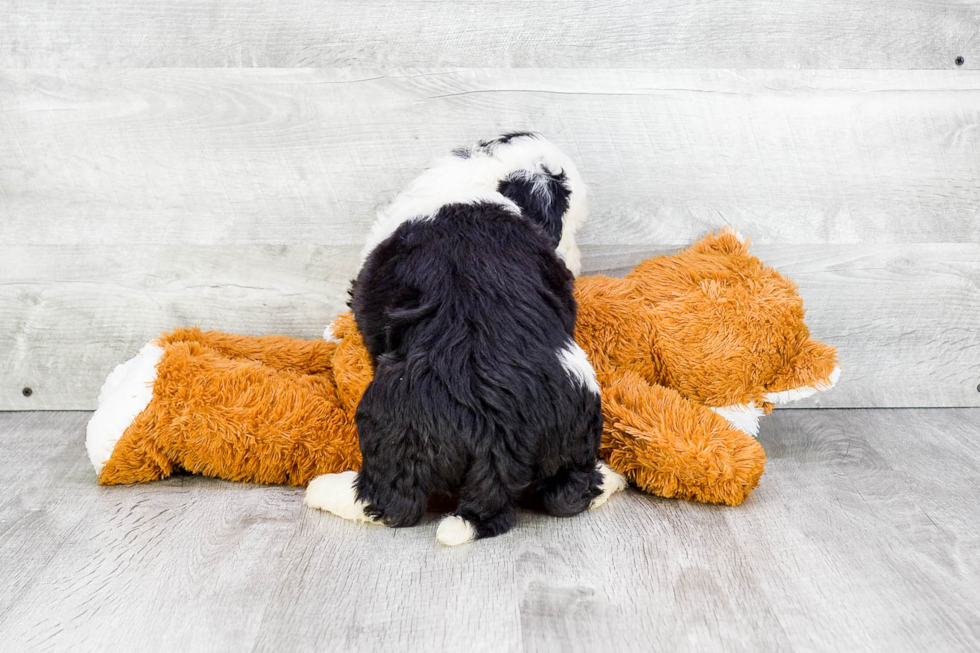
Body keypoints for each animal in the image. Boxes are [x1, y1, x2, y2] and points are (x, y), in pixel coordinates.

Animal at [308, 132, 628, 544]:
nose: (575, 257)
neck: (478, 179)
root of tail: (496, 431)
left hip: (390, 427)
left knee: (391, 501)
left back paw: (323, 491)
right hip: (574, 418)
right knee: (567, 493)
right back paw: (611, 480)